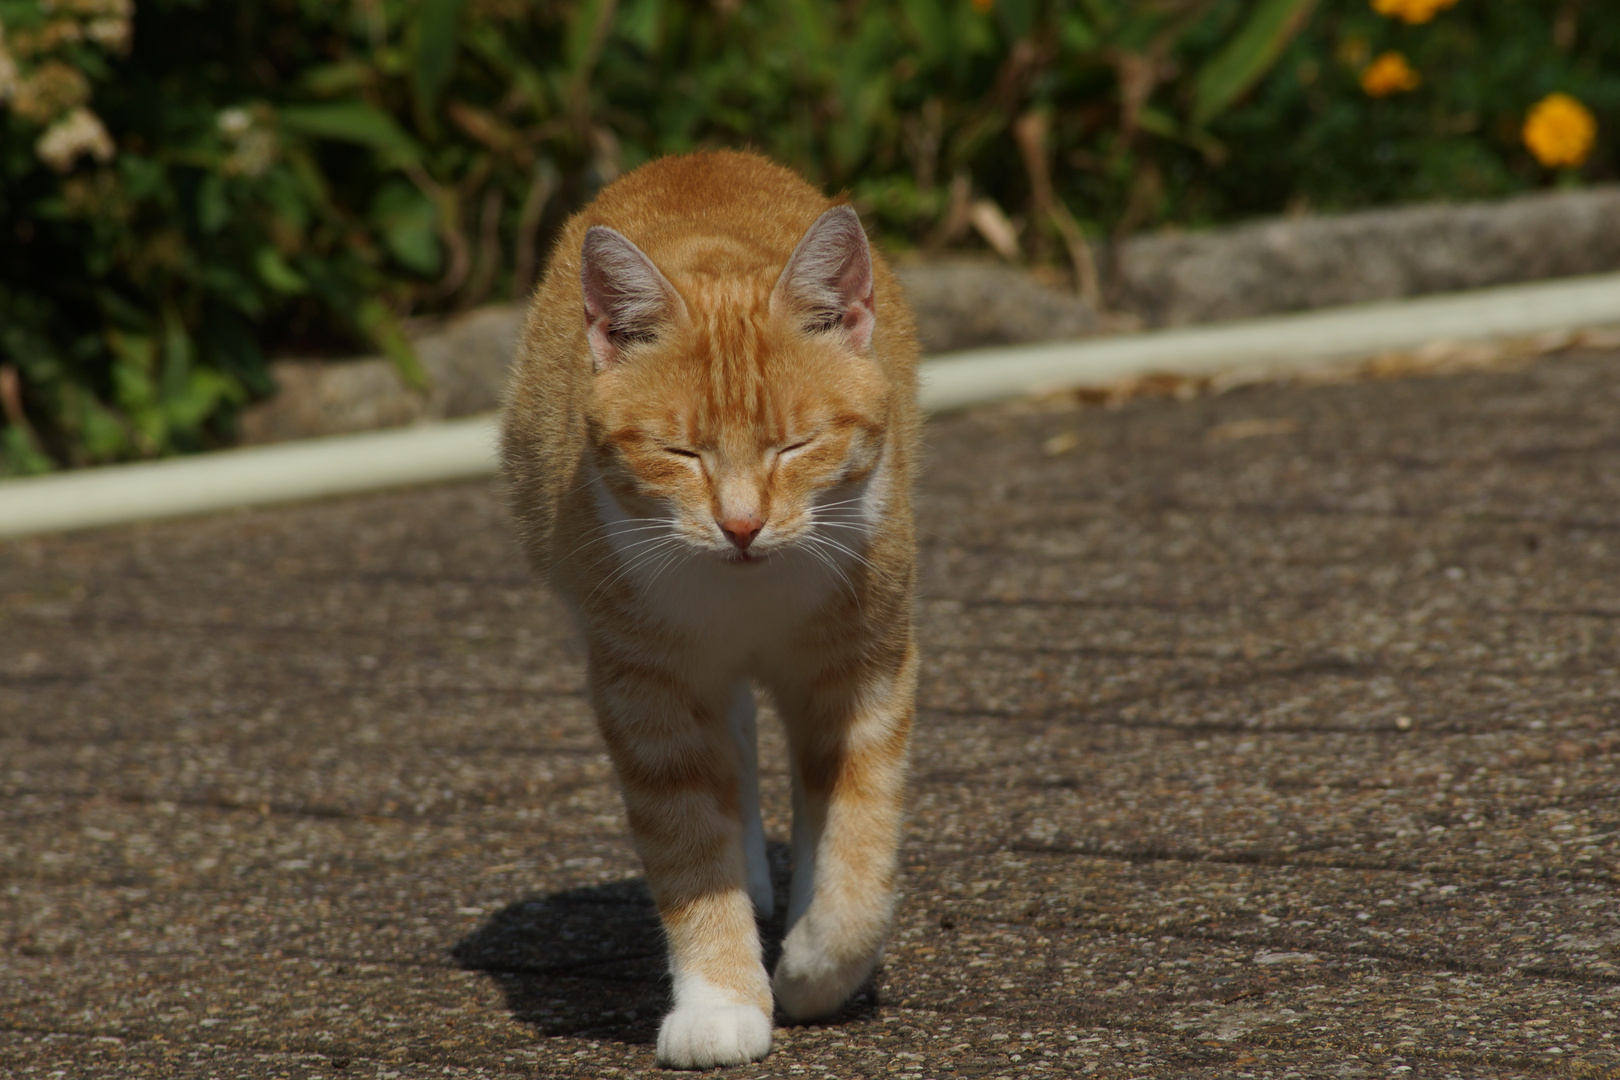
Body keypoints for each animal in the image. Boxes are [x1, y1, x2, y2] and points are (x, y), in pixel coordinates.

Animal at [498, 152, 920, 1075]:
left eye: (796, 445)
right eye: (679, 453)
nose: (741, 524)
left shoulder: (864, 664)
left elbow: (859, 833)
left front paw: (815, 967)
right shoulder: (646, 690)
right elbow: (692, 846)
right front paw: (722, 1000)